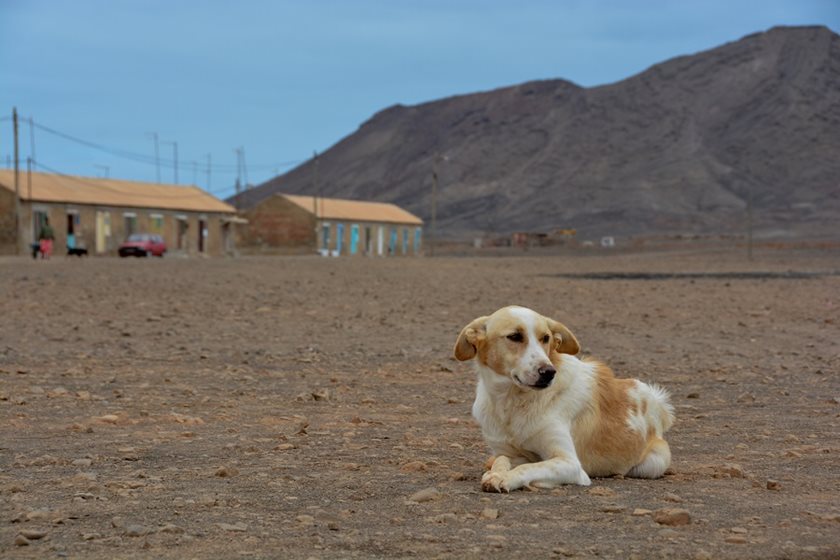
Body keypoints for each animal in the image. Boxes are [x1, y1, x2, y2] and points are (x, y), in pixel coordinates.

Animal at [452, 304, 676, 492]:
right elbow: (501, 461)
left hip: (654, 462)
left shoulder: (569, 463)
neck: (512, 402)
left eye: (546, 338)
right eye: (514, 336)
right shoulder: (511, 453)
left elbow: (529, 469)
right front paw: (497, 474)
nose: (548, 372)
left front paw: (506, 478)